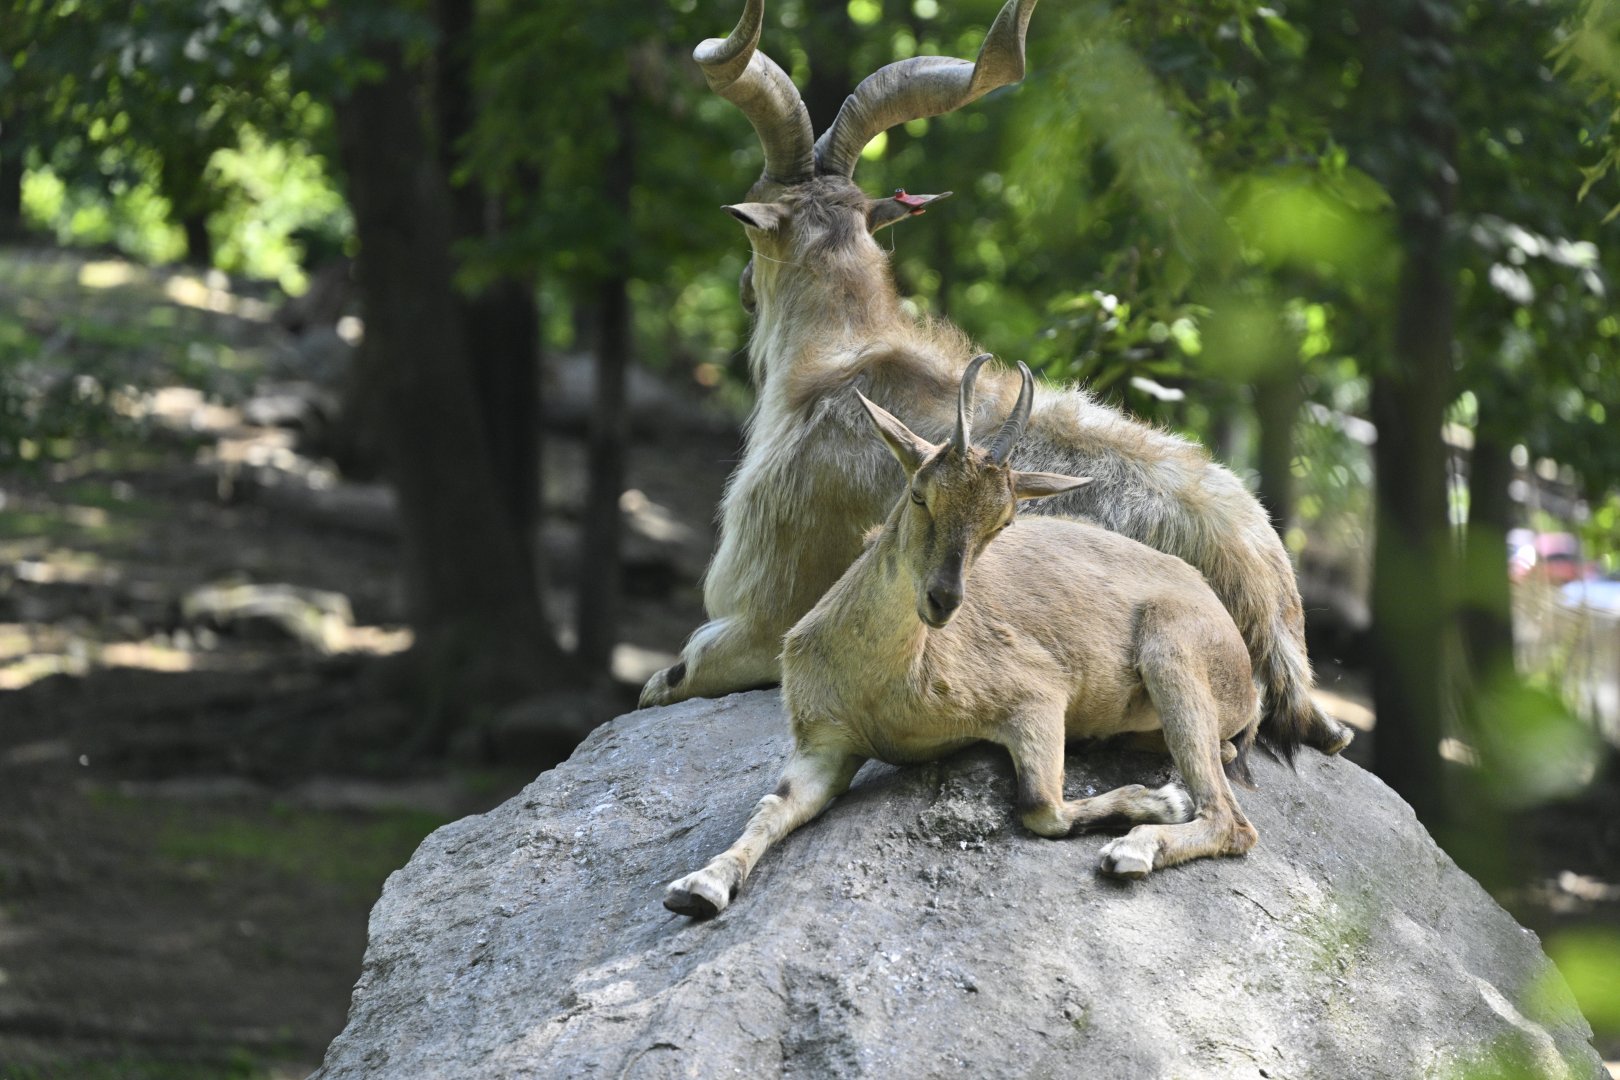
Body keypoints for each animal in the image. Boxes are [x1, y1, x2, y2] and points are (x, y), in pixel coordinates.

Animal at [664, 357, 1260, 918]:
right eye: (919, 492)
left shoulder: (1036, 695)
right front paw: (700, 886)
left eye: (1004, 522)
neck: (881, 686)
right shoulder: (824, 743)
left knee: (1233, 821)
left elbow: (1042, 806)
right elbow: (772, 806)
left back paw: (1134, 849)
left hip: (1172, 650)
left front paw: (1161, 801)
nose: (944, 599)